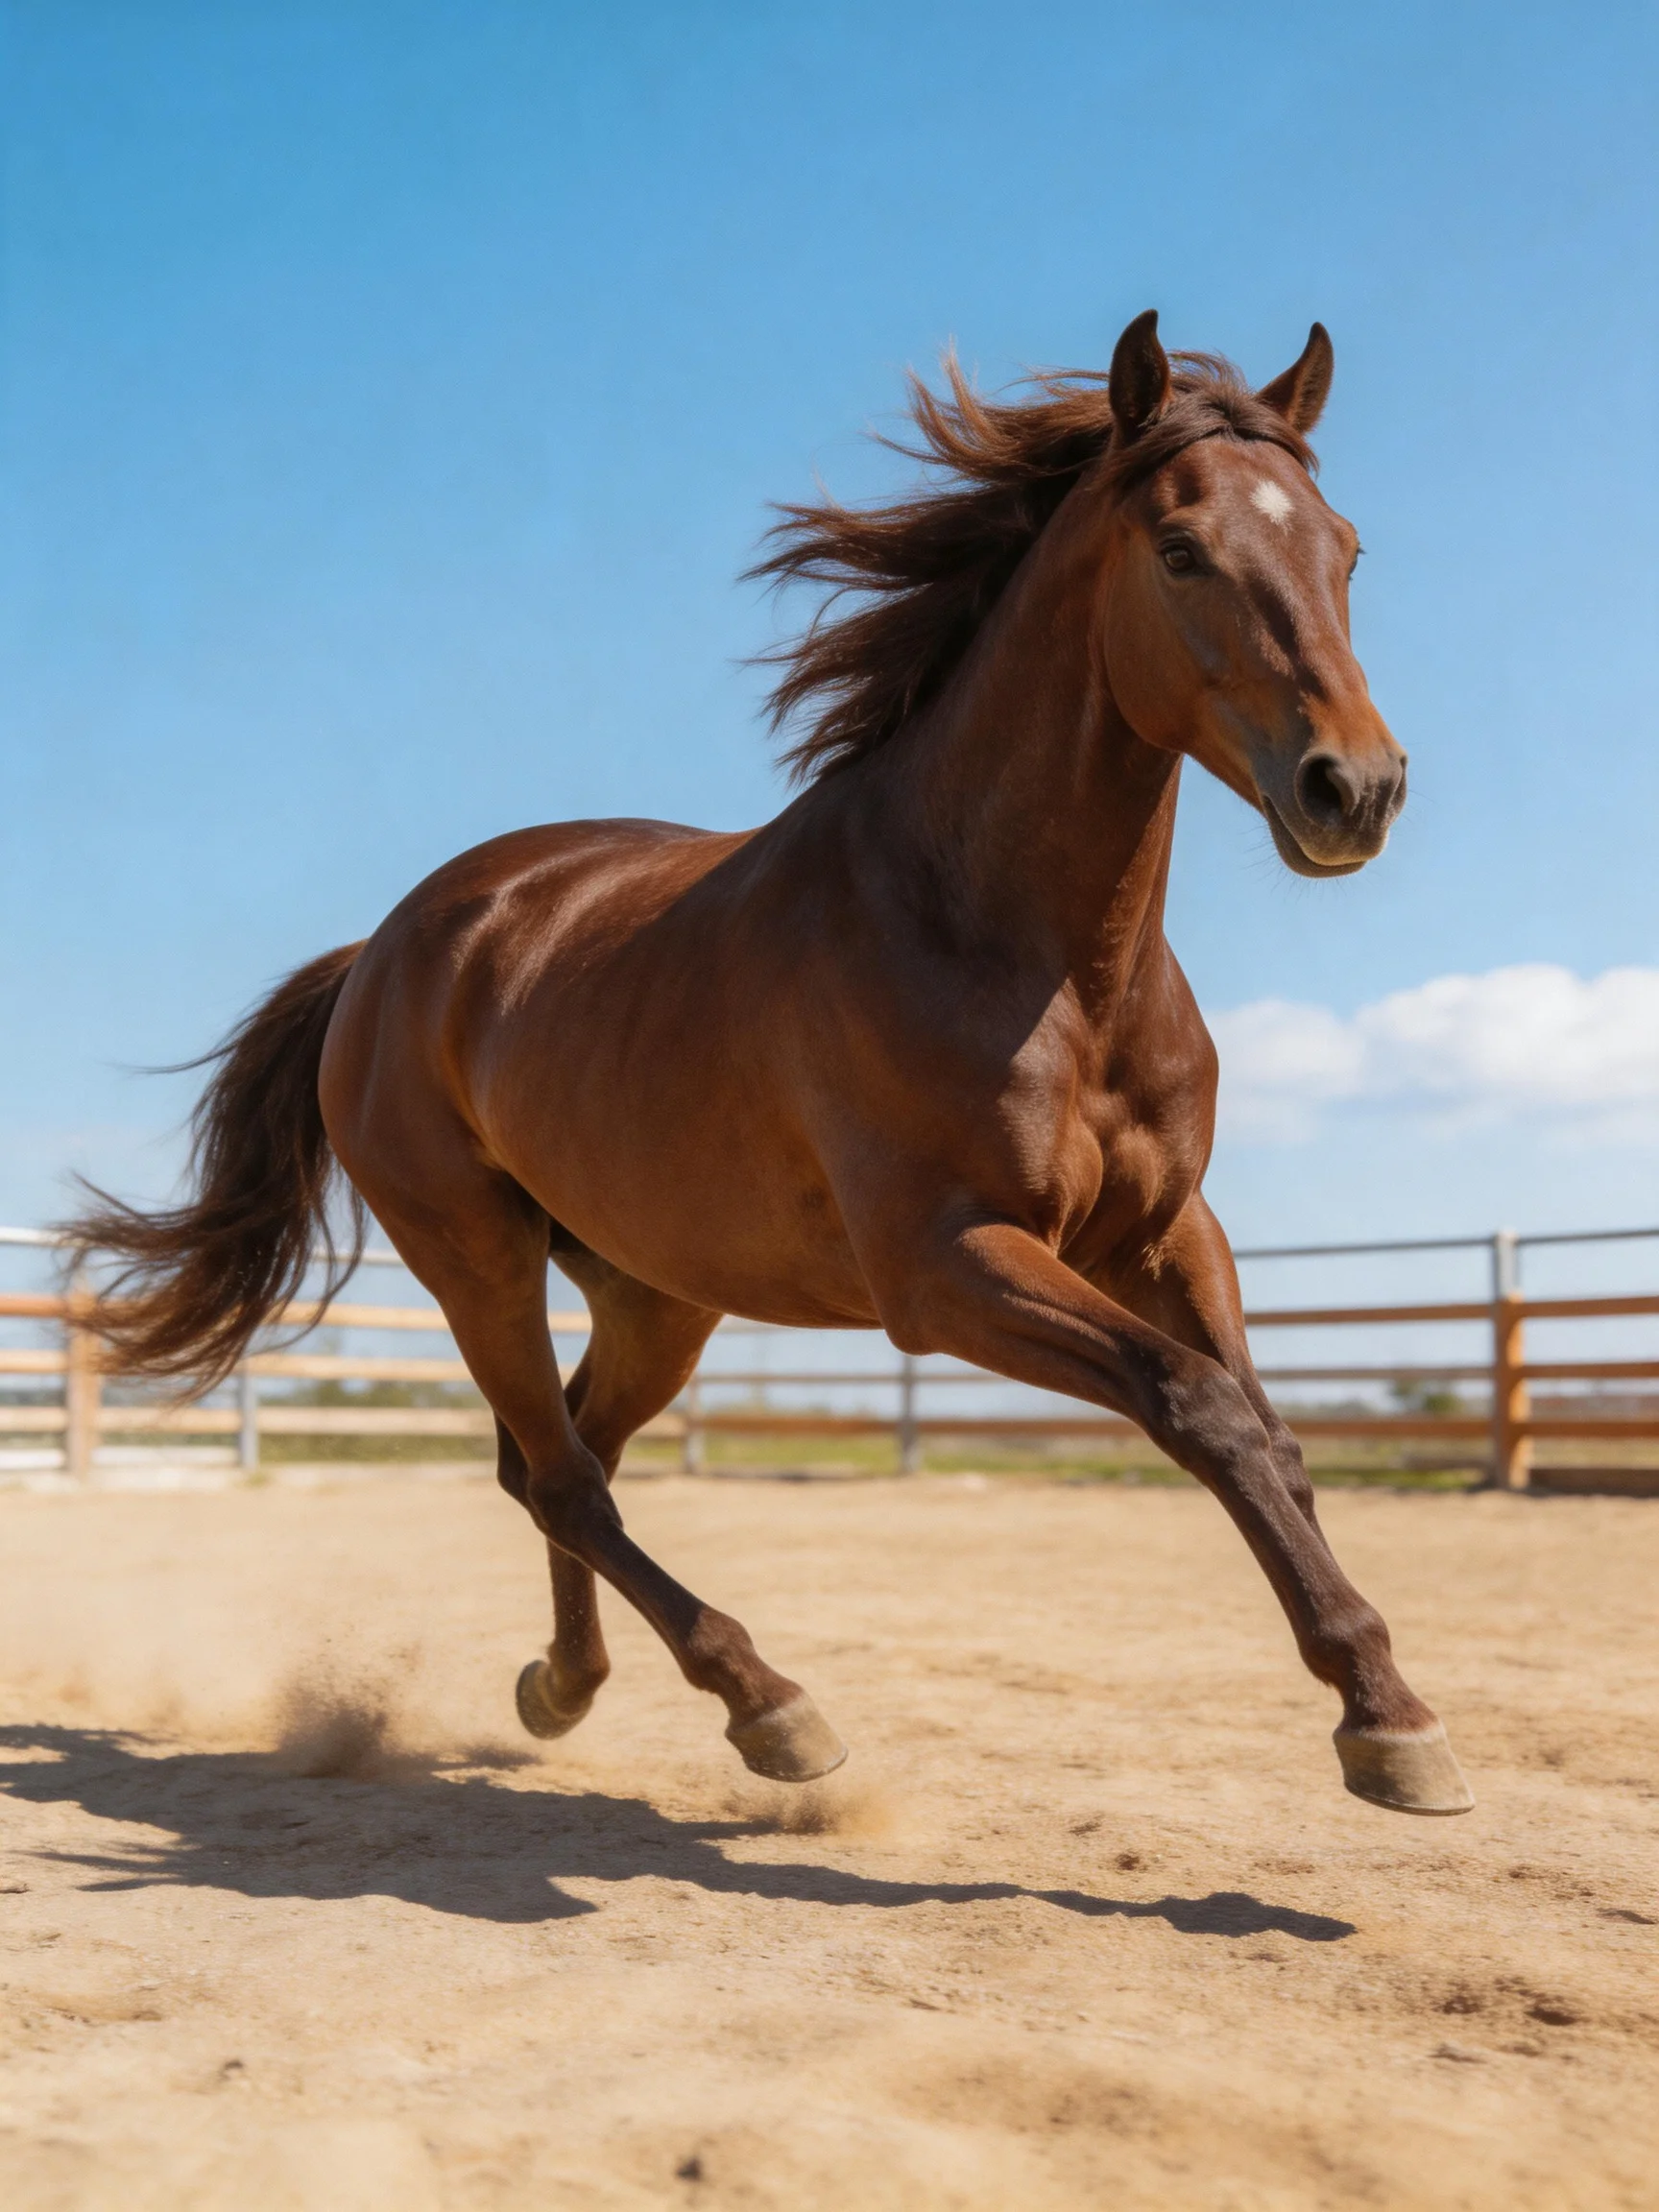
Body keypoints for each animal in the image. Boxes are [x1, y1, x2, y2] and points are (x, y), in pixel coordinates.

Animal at [71, 310, 1472, 1817]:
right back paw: (767, 1705)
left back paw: (567, 1685)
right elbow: (1200, 1407)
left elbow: (1270, 1438)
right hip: (476, 1258)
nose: (1356, 790)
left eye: (1346, 548)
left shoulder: (1166, 1236)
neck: (1017, 946)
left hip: (656, 1293)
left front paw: (1387, 1707)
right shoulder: (946, 1267)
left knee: (561, 1453)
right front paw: (1391, 1730)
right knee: (562, 1474)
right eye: (1181, 548)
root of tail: (382, 956)